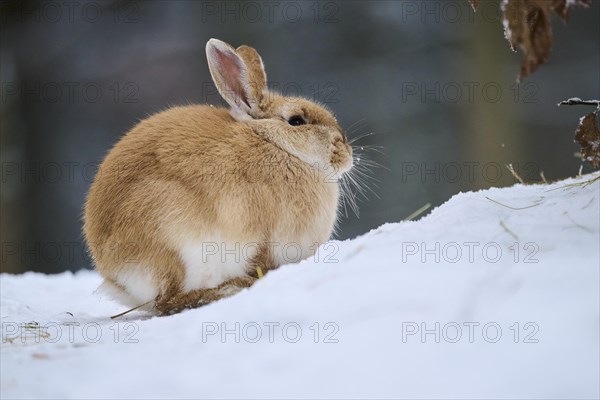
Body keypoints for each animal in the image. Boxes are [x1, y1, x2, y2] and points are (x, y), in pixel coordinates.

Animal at [85, 39, 356, 316]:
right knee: (167, 301)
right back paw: (228, 289)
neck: (277, 145)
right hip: (173, 242)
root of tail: (115, 275)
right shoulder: (262, 238)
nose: (347, 153)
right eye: (297, 121)